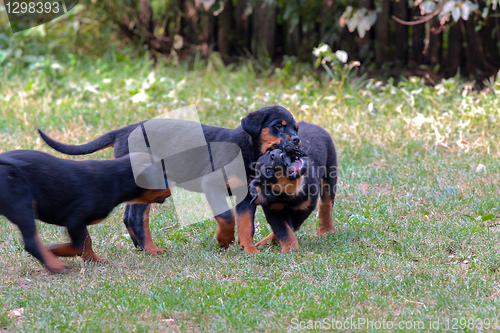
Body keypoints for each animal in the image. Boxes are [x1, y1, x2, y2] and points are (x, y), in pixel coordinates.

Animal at [0, 150, 170, 272]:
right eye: (163, 177)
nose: (170, 190)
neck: (115, 179)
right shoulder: (75, 220)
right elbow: (79, 245)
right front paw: (54, 250)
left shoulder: (79, 223)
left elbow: (86, 242)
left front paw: (94, 259)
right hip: (22, 204)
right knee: (31, 242)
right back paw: (56, 266)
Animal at [38, 105, 300, 253]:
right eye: (278, 126)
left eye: (296, 128)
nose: (298, 140)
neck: (248, 150)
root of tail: (122, 131)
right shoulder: (212, 184)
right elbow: (227, 218)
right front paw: (224, 241)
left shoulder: (245, 194)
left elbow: (246, 224)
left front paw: (249, 250)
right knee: (136, 217)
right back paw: (152, 250)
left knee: (129, 216)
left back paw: (140, 247)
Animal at [249, 122, 338, 252]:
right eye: (268, 171)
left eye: (271, 153)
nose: (274, 153)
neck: (290, 193)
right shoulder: (273, 210)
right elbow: (285, 231)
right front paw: (289, 248)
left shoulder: (304, 207)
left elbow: (289, 228)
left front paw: (288, 248)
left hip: (330, 172)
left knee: (326, 204)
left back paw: (326, 230)